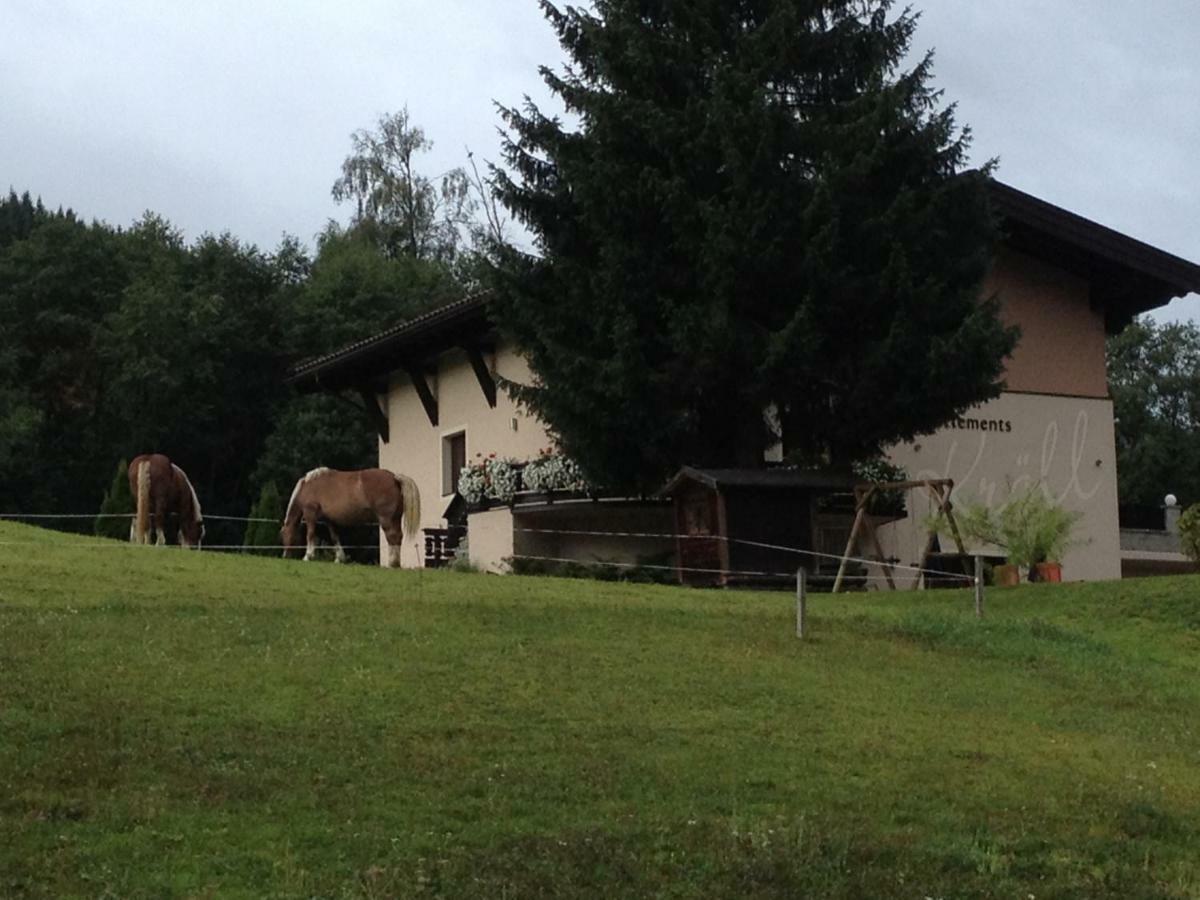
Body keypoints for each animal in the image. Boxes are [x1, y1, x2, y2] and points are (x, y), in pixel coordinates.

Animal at [280, 468, 422, 566]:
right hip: (395, 518)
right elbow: (335, 538)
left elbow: (310, 535)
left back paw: (392, 563)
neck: (308, 486)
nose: (284, 555)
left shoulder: (310, 514)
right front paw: (339, 558)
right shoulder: (329, 520)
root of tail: (394, 477)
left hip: (386, 519)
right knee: (398, 536)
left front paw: (308, 556)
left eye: (283, 536)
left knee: (393, 536)